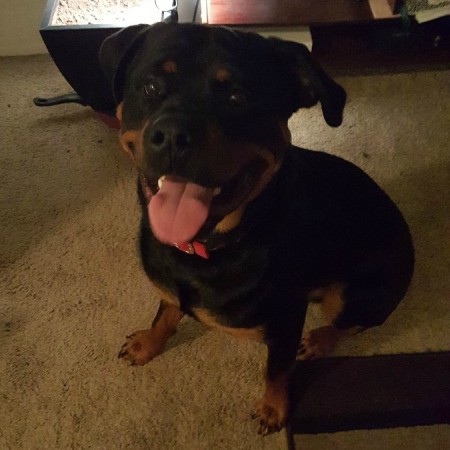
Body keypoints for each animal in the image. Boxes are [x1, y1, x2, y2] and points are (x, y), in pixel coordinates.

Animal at [99, 22, 414, 434]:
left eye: (238, 96)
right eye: (150, 87)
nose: (171, 136)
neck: (206, 249)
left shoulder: (284, 323)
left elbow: (276, 371)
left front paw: (272, 409)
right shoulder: (170, 288)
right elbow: (165, 312)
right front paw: (148, 344)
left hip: (354, 294)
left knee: (353, 323)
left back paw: (319, 340)